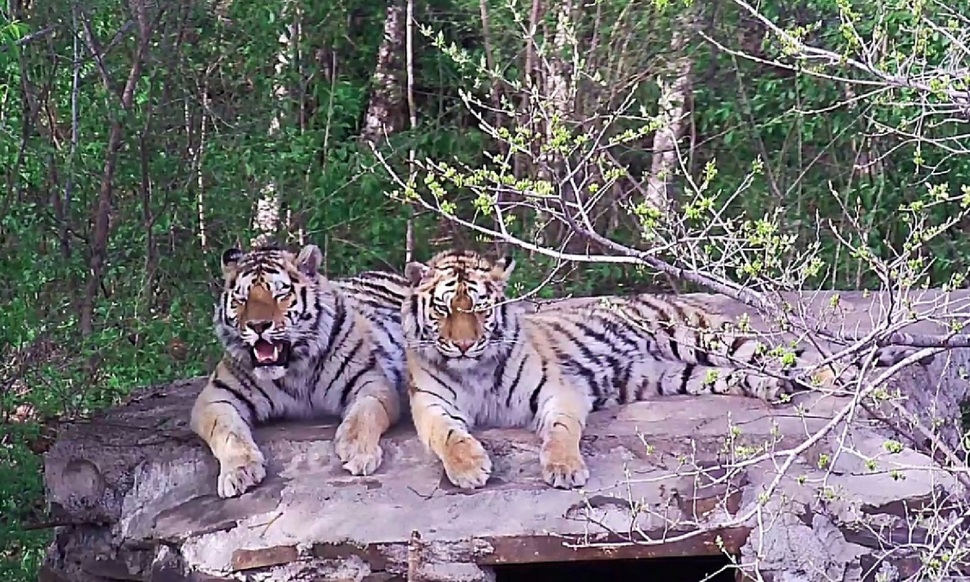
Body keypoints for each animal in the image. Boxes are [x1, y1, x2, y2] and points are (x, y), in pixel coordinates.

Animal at [189, 244, 408, 500]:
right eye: (241, 299)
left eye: (280, 294)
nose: (258, 326)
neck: (294, 369)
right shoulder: (215, 397)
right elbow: (227, 431)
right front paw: (239, 470)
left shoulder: (372, 381)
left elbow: (365, 412)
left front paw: (358, 450)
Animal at [398, 249, 932, 490]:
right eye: (444, 309)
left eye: (480, 308)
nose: (464, 344)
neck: (475, 369)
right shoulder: (430, 402)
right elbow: (447, 435)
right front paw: (469, 468)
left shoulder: (558, 388)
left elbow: (562, 430)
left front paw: (564, 468)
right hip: (681, 374)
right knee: (752, 376)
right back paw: (772, 390)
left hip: (709, 338)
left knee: (804, 364)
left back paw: (845, 385)